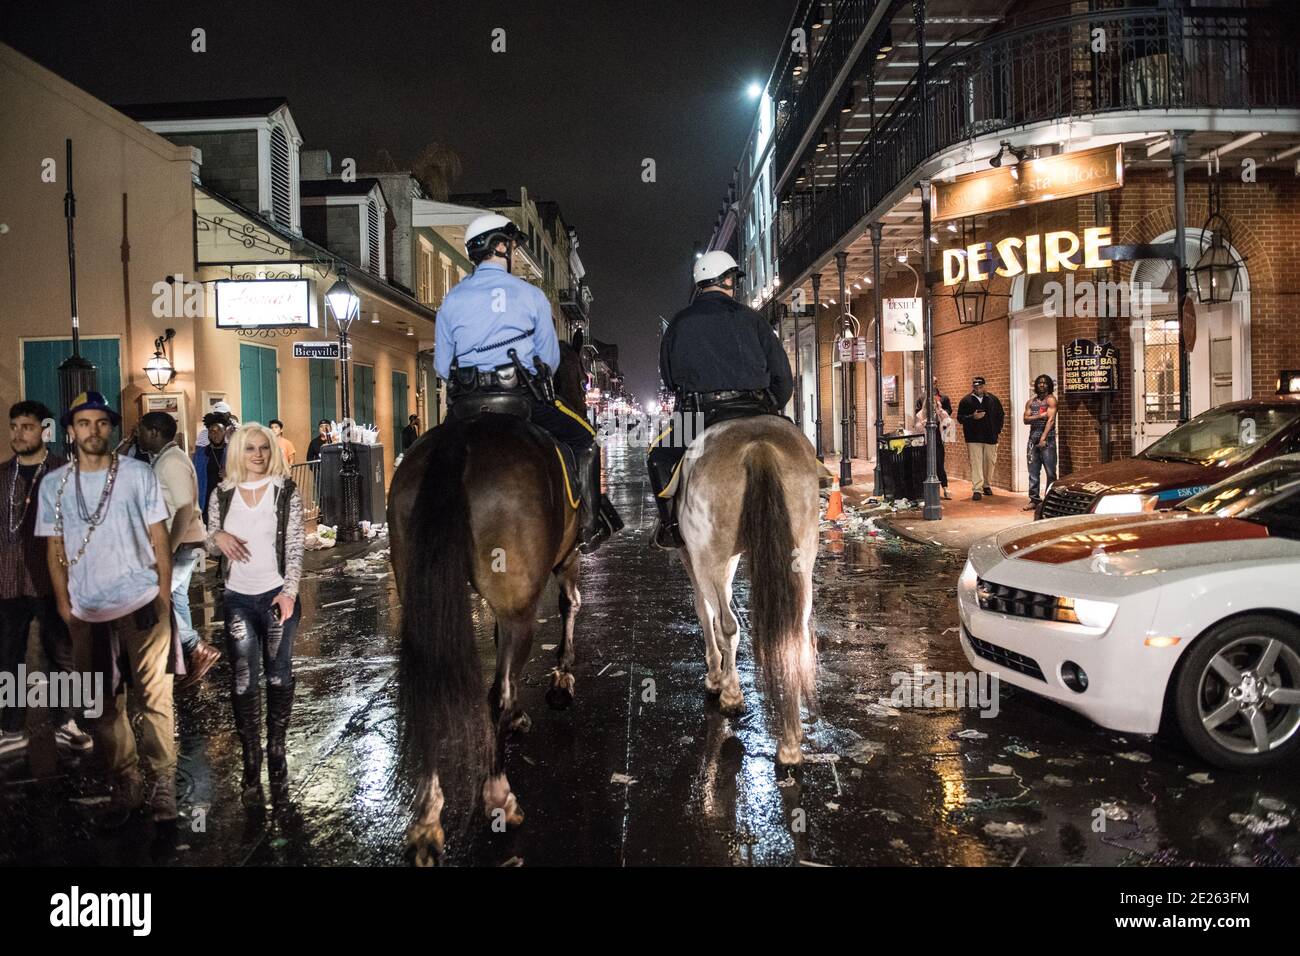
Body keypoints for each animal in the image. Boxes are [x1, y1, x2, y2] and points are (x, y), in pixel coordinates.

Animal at [387, 345, 587, 868]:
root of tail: (462, 442)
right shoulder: (565, 561)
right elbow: (569, 605)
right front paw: (561, 681)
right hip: (520, 600)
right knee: (495, 689)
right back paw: (499, 796)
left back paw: (427, 819)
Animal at [670, 416, 821, 764]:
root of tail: (758, 444)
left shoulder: (691, 554)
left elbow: (704, 610)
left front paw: (716, 675)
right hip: (802, 555)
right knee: (794, 632)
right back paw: (790, 740)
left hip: (708, 554)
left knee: (727, 623)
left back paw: (732, 694)